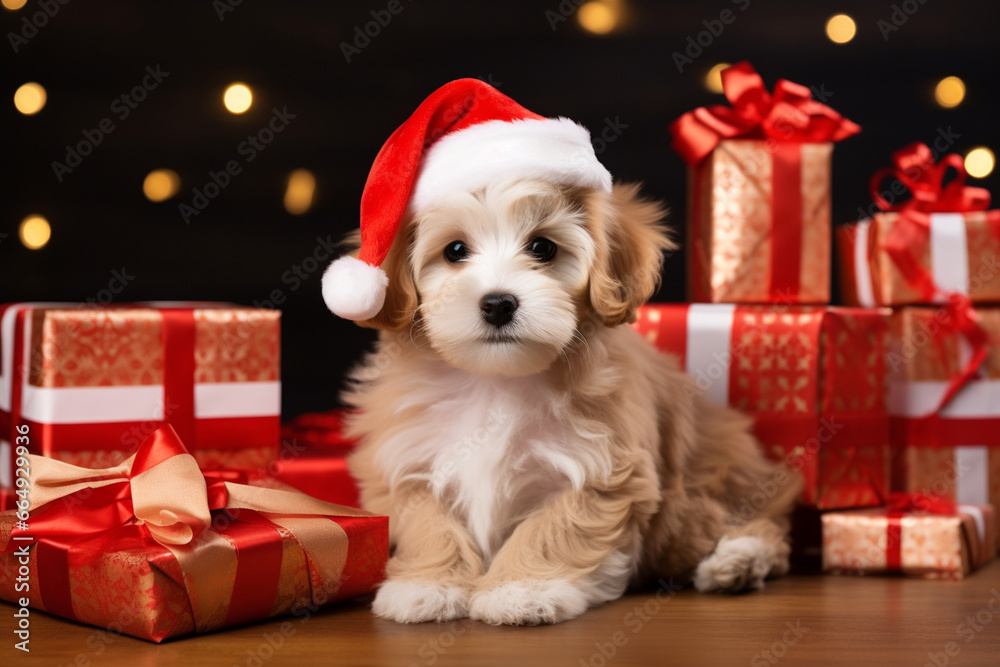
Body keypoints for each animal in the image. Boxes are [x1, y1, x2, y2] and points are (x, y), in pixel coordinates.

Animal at [340, 177, 800, 628]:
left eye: (543, 247)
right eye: (455, 250)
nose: (498, 303)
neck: (495, 379)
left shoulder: (600, 465)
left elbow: (552, 527)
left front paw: (522, 590)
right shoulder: (408, 460)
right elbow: (428, 523)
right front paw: (427, 584)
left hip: (706, 495)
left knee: (760, 527)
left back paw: (736, 560)